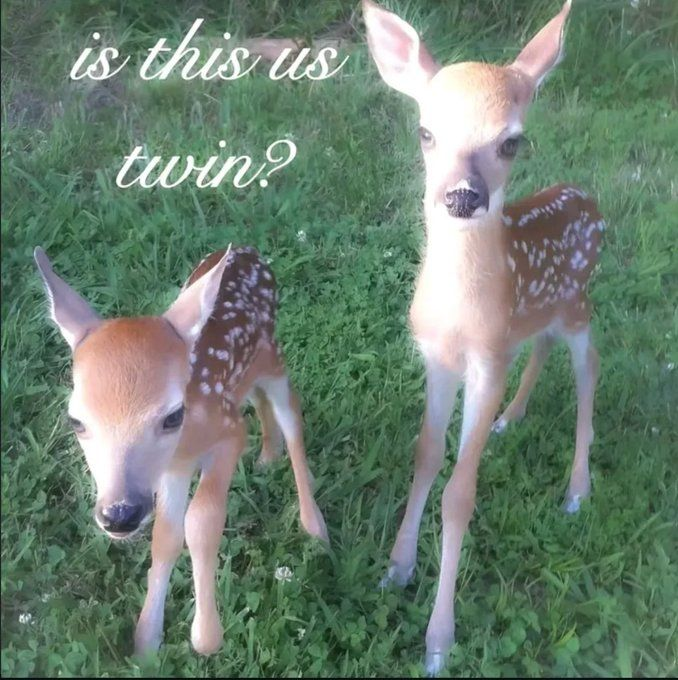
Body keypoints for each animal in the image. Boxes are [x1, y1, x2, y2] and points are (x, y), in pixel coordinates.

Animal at [33, 244, 328, 656]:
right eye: (76, 421)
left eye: (173, 416)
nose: (119, 514)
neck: (185, 444)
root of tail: (248, 250)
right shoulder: (172, 470)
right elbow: (165, 537)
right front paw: (146, 641)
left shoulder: (229, 435)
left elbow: (200, 520)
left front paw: (206, 637)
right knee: (257, 400)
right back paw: (268, 458)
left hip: (274, 358)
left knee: (292, 418)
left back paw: (314, 524)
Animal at [363, 0, 604, 674]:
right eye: (425, 132)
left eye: (511, 140)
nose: (463, 197)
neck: (459, 314)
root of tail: (591, 200)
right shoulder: (439, 358)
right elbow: (424, 456)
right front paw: (395, 568)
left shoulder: (486, 361)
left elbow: (459, 494)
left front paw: (438, 641)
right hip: (541, 317)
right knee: (542, 345)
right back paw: (510, 420)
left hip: (579, 306)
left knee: (590, 368)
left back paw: (577, 491)